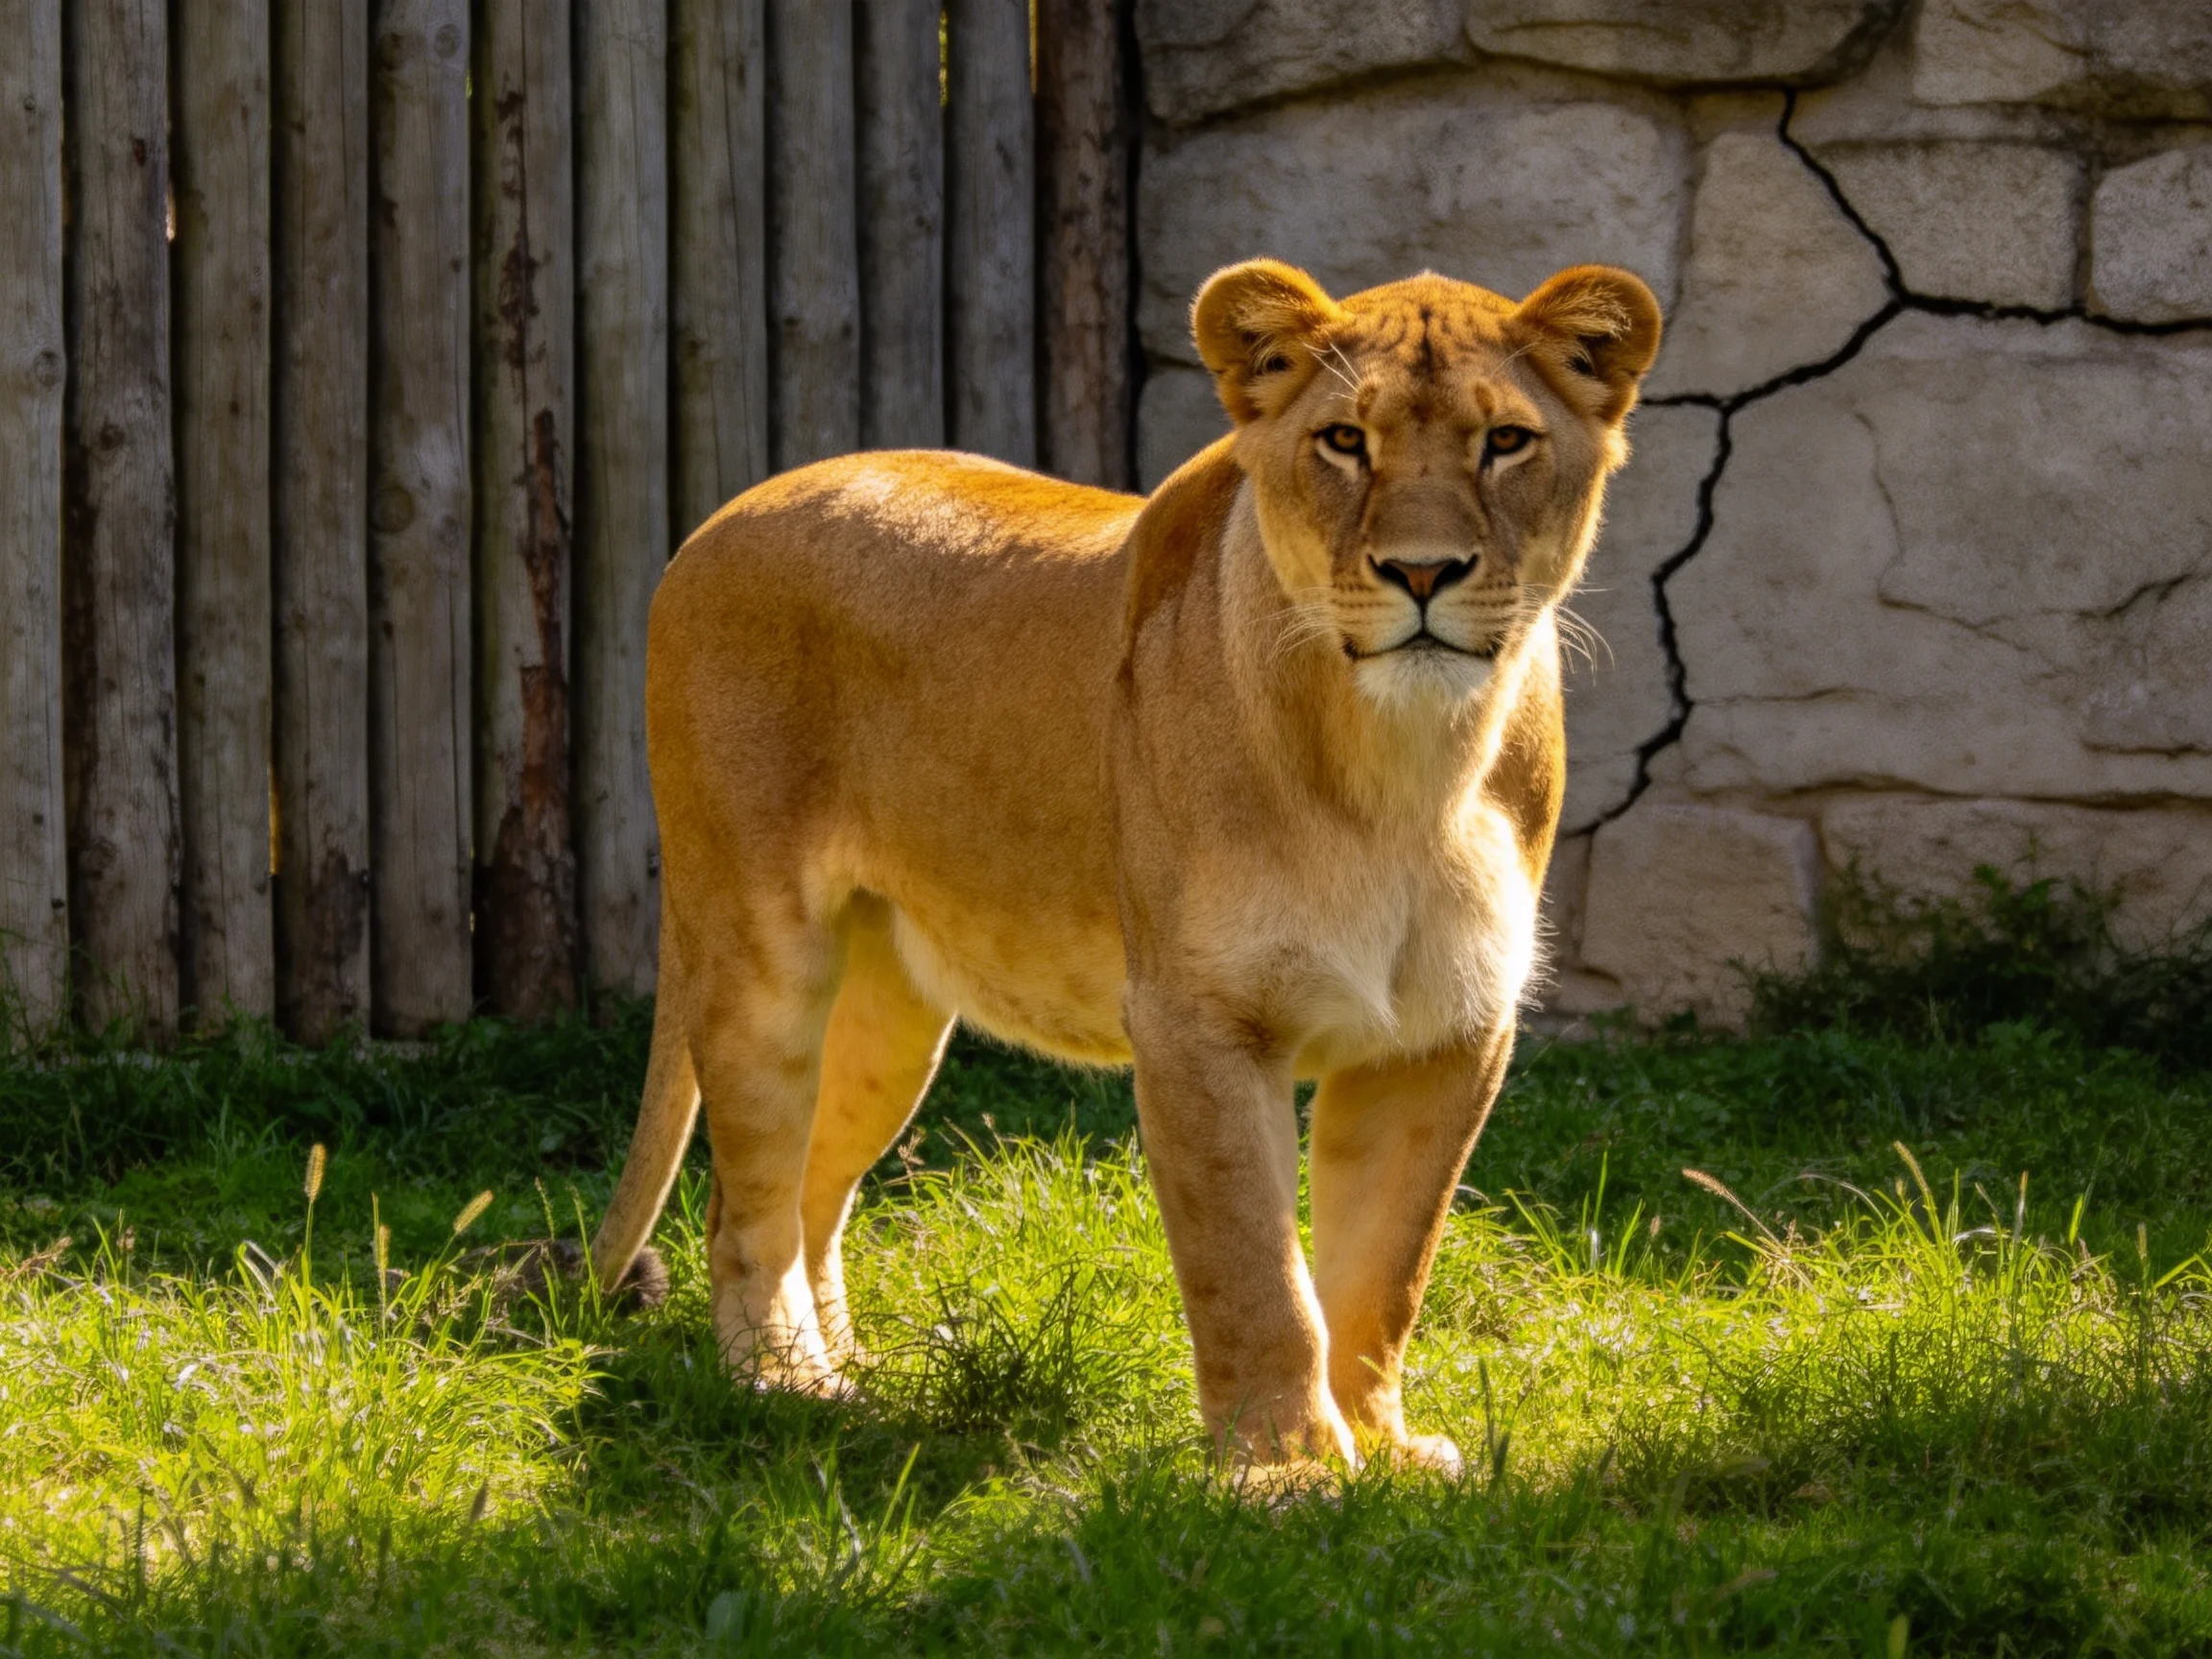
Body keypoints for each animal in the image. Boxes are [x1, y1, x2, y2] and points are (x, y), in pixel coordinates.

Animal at [587, 257, 1662, 1469]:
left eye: (1506, 443)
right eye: (1344, 440)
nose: (1421, 572)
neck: (1405, 766)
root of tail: (714, 520)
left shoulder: (1443, 1033)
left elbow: (1384, 1272)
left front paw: (1381, 1448)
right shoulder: (1198, 1020)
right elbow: (1254, 1271)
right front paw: (1288, 1469)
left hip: (890, 1009)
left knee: (815, 1186)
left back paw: (859, 1375)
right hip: (761, 950)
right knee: (747, 1202)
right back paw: (787, 1382)